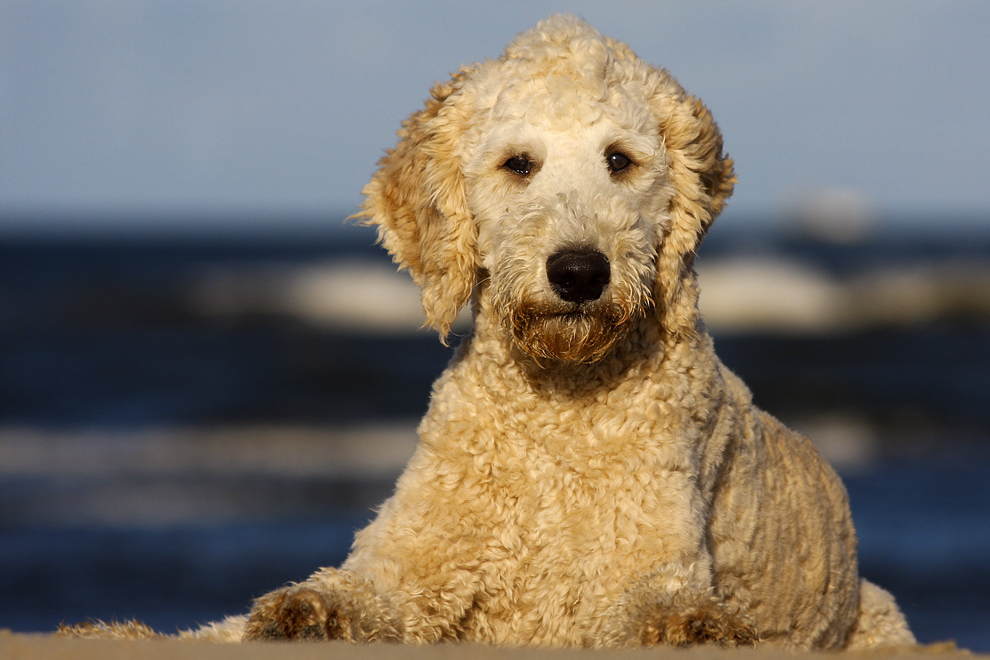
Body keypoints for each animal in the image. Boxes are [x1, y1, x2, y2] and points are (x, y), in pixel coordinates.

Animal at [62, 14, 920, 648]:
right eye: (518, 163)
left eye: (620, 159)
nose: (578, 272)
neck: (555, 406)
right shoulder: (412, 558)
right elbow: (323, 597)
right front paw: (297, 612)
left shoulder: (645, 564)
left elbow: (663, 605)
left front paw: (692, 629)